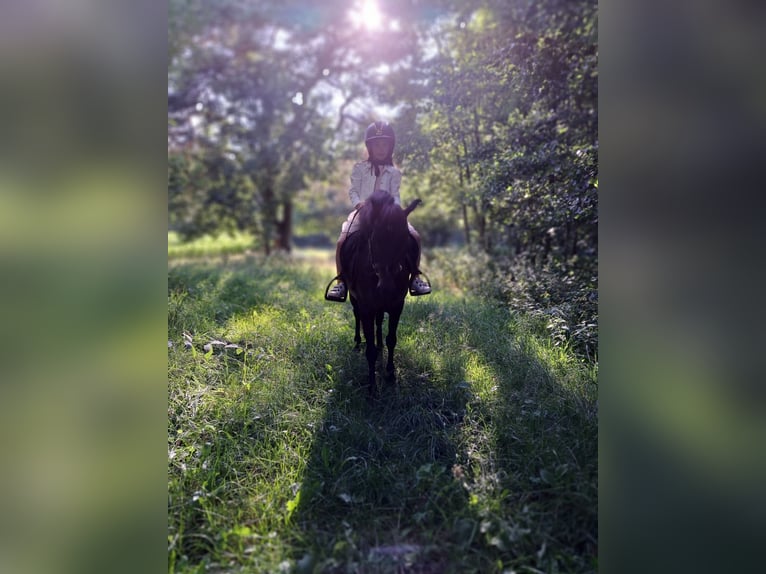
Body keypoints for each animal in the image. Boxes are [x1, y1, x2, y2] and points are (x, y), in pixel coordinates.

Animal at [340, 191, 424, 398]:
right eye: (375, 239)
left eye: (404, 240)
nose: (386, 287)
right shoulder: (366, 308)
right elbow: (369, 350)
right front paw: (372, 387)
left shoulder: (396, 305)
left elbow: (391, 339)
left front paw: (390, 375)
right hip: (355, 300)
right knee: (356, 317)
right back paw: (357, 343)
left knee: (379, 323)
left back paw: (379, 346)